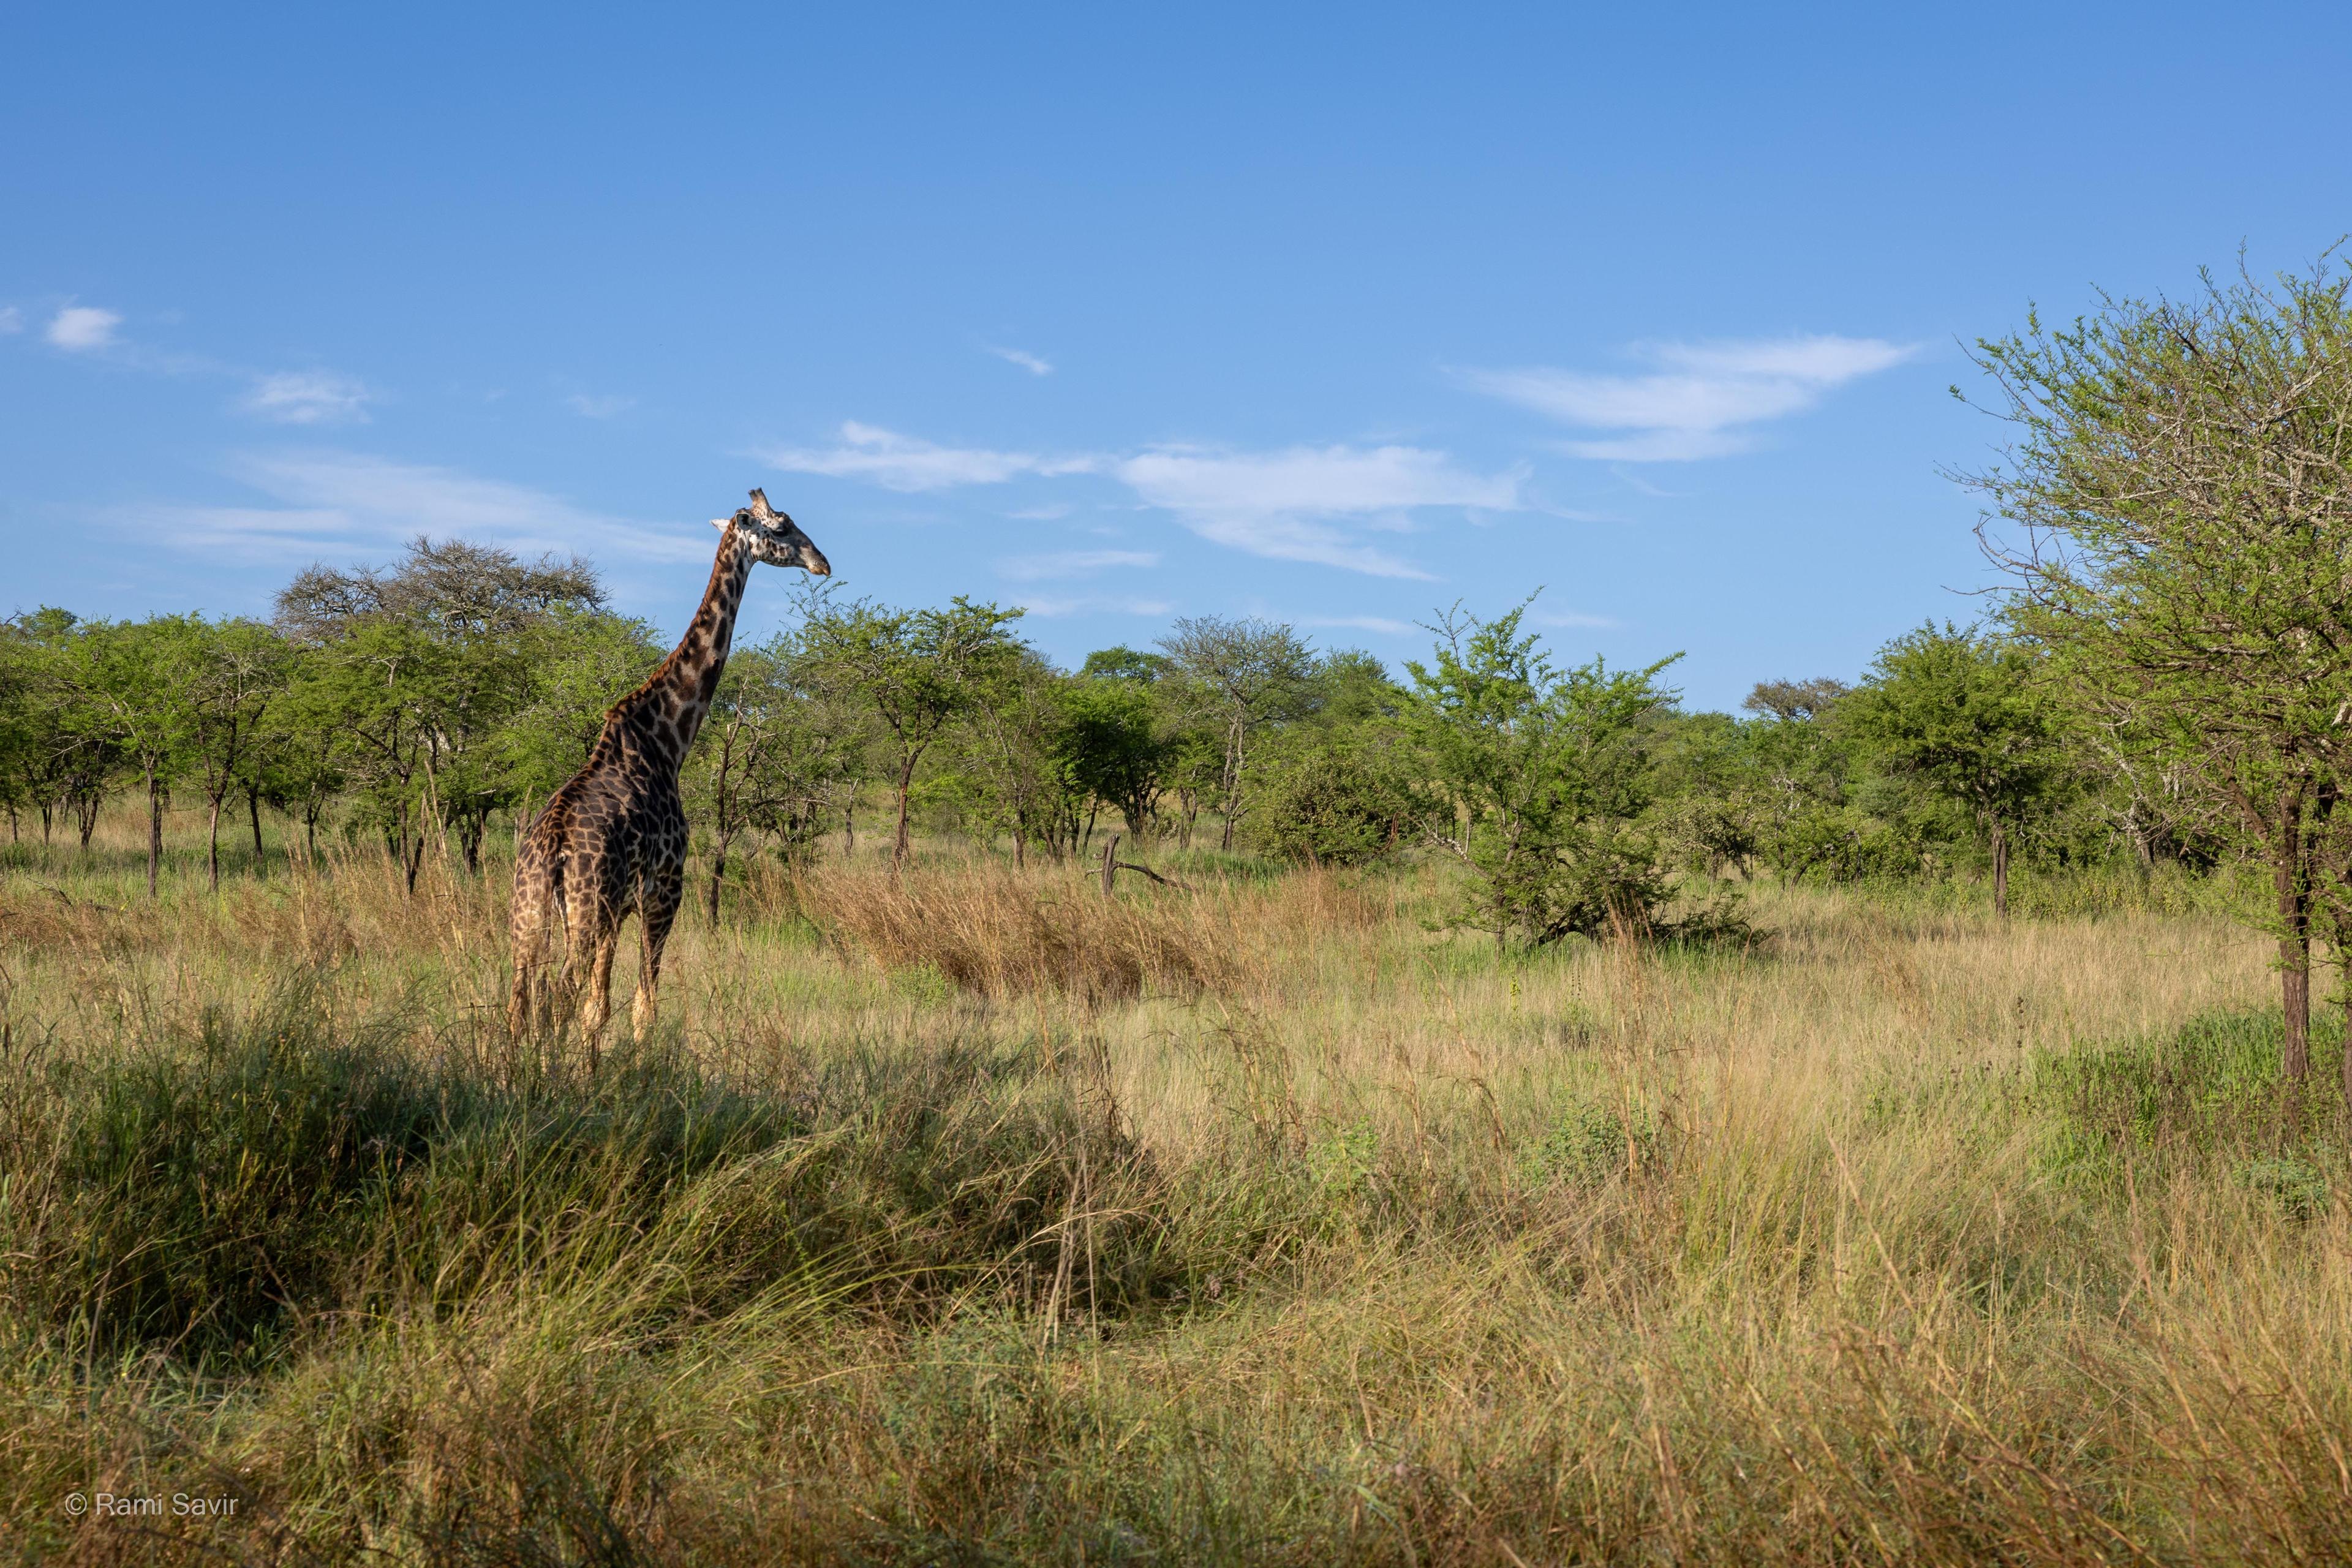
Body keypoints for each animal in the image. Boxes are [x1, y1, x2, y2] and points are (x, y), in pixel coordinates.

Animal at [507, 489, 829, 1059]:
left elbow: (599, 1010)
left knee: (518, 1003)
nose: (823, 563)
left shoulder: (621, 908)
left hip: (529, 916)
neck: (669, 739)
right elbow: (642, 1007)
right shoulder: (664, 892)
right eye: (782, 528)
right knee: (555, 997)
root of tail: (551, 853)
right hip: (584, 912)